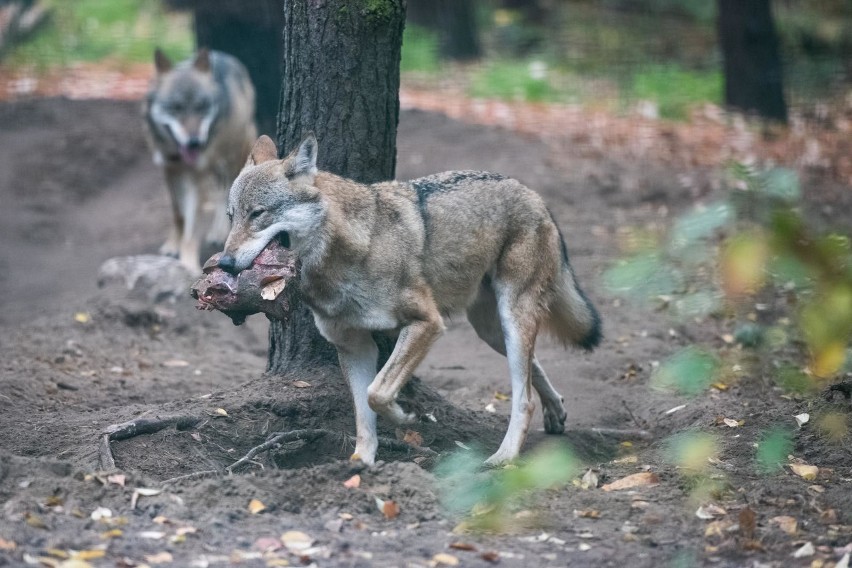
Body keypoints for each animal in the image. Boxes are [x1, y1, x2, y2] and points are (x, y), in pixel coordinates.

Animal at [145, 46, 256, 272]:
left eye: (202, 106)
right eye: (176, 108)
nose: (195, 142)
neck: (178, 153)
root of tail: (223, 54)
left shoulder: (195, 177)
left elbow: (192, 226)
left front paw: (187, 263)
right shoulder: (170, 171)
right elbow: (178, 215)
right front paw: (173, 245)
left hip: (232, 155)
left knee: (227, 191)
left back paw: (221, 232)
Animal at [216, 134, 604, 466]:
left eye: (258, 213)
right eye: (231, 217)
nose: (224, 263)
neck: (351, 252)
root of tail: (533, 194)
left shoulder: (427, 323)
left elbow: (378, 393)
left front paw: (406, 417)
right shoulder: (354, 346)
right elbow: (363, 412)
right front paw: (361, 463)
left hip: (511, 316)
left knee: (523, 398)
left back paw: (503, 458)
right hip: (492, 331)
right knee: (533, 367)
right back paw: (556, 412)